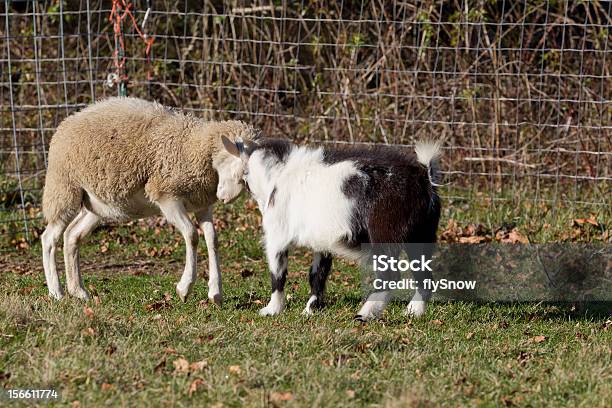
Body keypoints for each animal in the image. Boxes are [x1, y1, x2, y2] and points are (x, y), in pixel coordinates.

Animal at [40, 97, 256, 304]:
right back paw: (57, 293)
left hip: (97, 205)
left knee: (72, 235)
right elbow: (192, 235)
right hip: (63, 189)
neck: (195, 145)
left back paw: (79, 291)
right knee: (49, 238)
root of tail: (67, 122)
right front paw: (184, 288)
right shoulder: (166, 196)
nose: (224, 198)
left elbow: (212, 239)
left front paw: (215, 293)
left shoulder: (202, 203)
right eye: (241, 172)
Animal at [222, 139, 442, 320]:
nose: (224, 196)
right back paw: (413, 312)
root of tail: (424, 177)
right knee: (424, 277)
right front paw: (310, 309)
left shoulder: (277, 236)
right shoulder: (322, 242)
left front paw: (271, 310)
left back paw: (365, 314)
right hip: (422, 236)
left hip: (385, 236)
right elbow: (317, 275)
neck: (278, 175)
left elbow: (278, 274)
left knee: (390, 277)